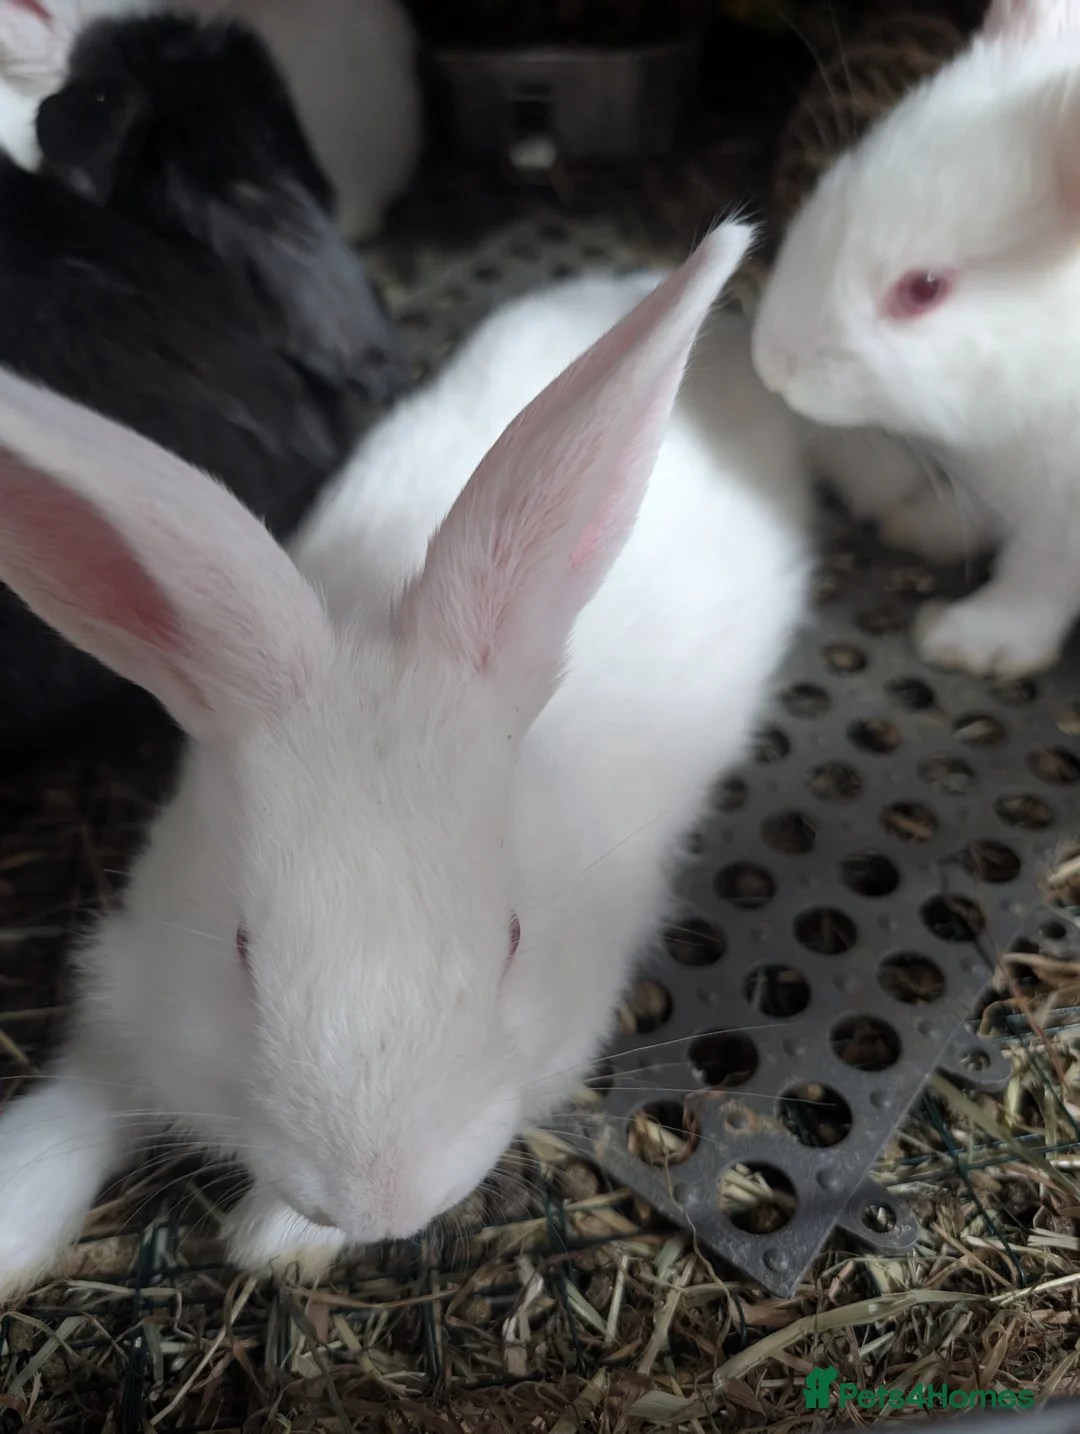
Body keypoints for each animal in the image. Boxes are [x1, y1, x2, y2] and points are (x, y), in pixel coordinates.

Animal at [0, 221, 811, 1298]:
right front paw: (11, 1218)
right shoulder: (133, 980)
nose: (379, 1202)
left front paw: (274, 1241)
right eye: (242, 948)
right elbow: (83, 1094)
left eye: (512, 937)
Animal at [751, 0, 1080, 678]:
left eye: (924, 289)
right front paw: (918, 527)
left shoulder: (1064, 515)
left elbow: (1038, 580)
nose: (772, 368)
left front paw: (969, 640)